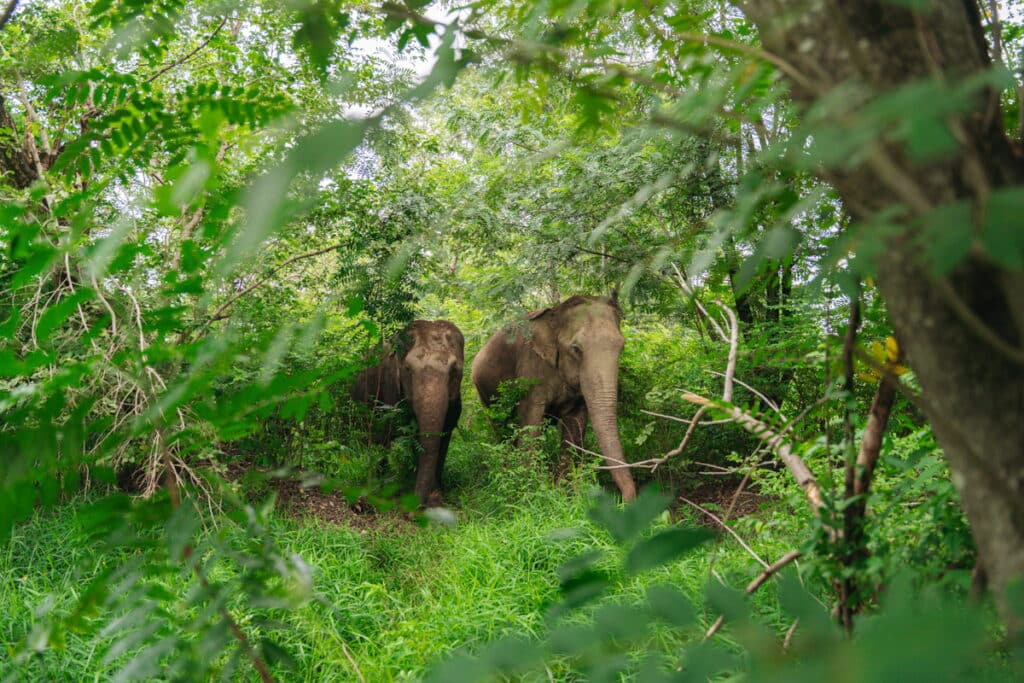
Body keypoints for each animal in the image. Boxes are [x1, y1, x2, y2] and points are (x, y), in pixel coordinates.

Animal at [350, 320, 464, 506]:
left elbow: (444, 435)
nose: (417, 506)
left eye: (454, 369)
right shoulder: (390, 386)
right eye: (408, 369)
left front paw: (437, 494)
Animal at [471, 294, 637, 501]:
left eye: (622, 347)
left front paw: (564, 494)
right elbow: (531, 422)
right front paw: (530, 492)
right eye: (576, 349)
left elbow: (575, 425)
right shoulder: (531, 370)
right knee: (502, 431)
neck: (555, 315)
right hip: (484, 394)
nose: (625, 501)